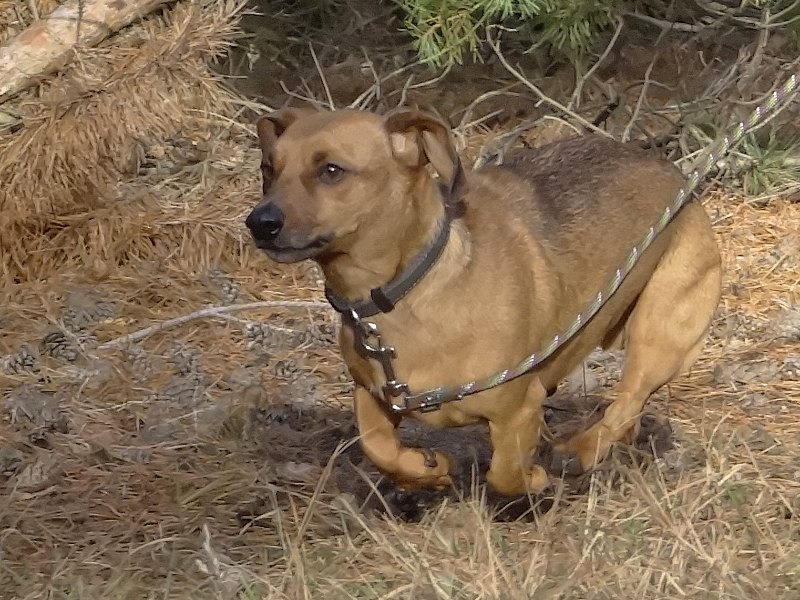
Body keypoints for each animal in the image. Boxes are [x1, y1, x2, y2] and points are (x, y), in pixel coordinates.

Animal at [245, 106, 722, 496]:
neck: (402, 293)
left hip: (660, 333)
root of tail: (676, 175)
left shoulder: (519, 407)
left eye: (331, 170)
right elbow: (377, 445)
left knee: (627, 401)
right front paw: (425, 470)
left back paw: (580, 450)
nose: (259, 223)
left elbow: (504, 473)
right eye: (269, 167)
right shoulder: (373, 394)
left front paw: (532, 479)